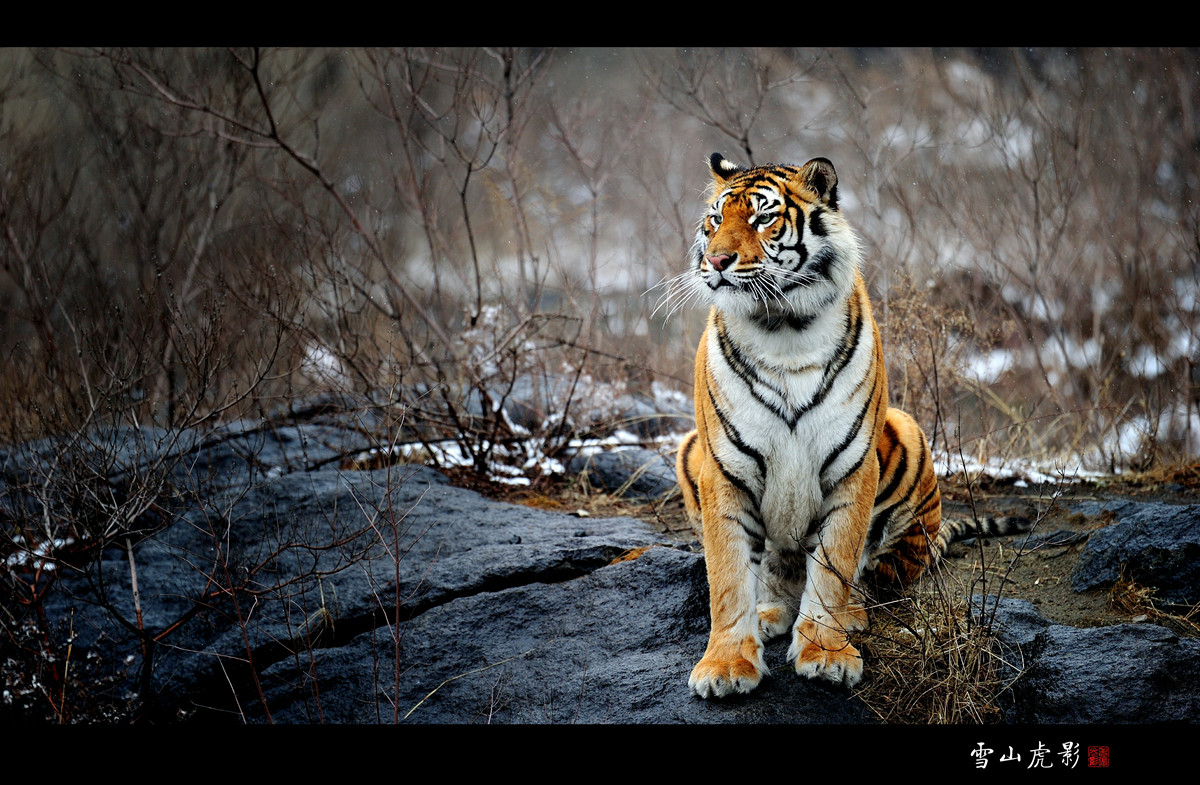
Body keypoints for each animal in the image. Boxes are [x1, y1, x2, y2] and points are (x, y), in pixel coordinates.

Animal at [676, 153, 1032, 700]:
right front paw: (727, 665)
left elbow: (834, 567)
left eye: (762, 218)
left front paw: (826, 653)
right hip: (690, 447)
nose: (715, 261)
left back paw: (854, 612)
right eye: (715, 220)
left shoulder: (850, 467)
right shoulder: (724, 469)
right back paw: (771, 611)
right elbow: (729, 577)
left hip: (909, 435)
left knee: (883, 569)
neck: (782, 327)